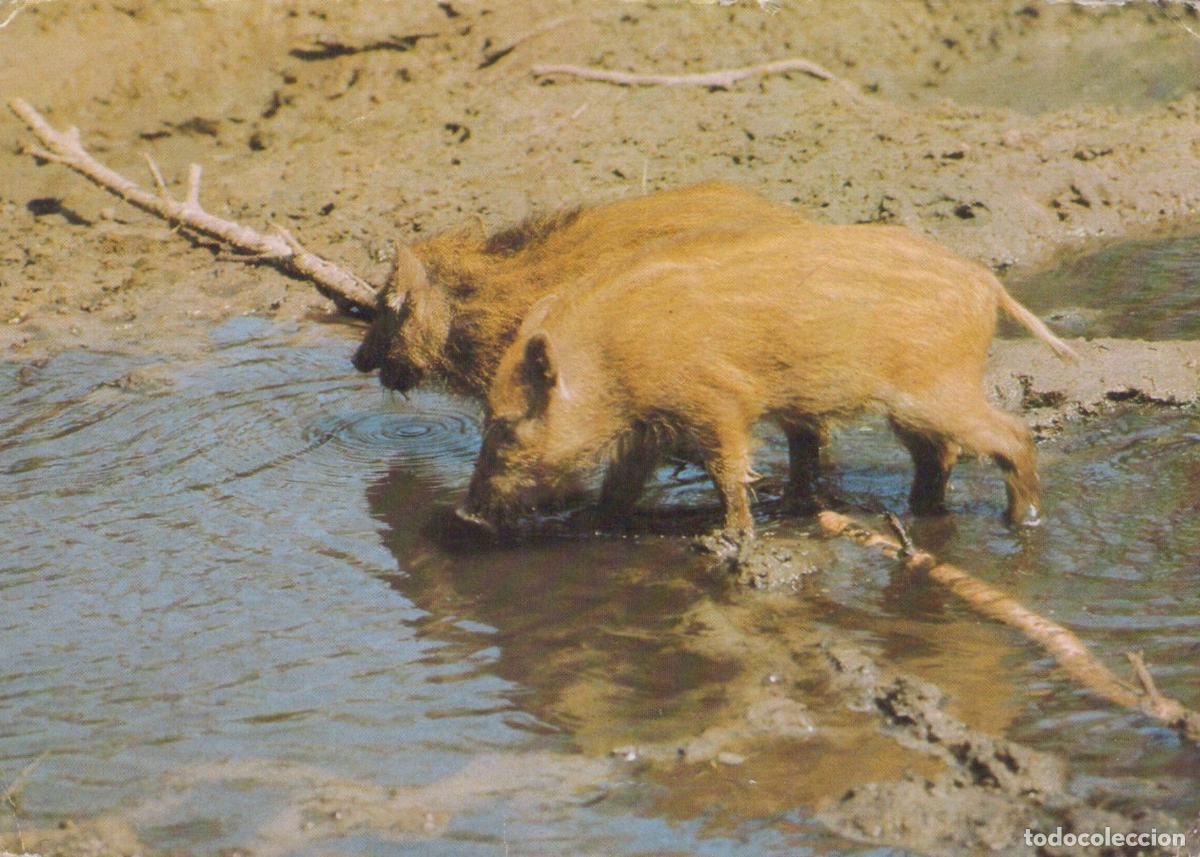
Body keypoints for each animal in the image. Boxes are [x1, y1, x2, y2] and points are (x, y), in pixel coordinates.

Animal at [458, 222, 1078, 538]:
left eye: (506, 424)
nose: (466, 512)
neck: (610, 362)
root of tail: (987, 285)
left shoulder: (716, 401)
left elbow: (729, 471)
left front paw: (731, 537)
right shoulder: (652, 426)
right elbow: (622, 482)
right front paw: (592, 519)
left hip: (934, 389)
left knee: (1011, 436)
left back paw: (1021, 521)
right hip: (913, 406)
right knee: (939, 455)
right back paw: (918, 511)